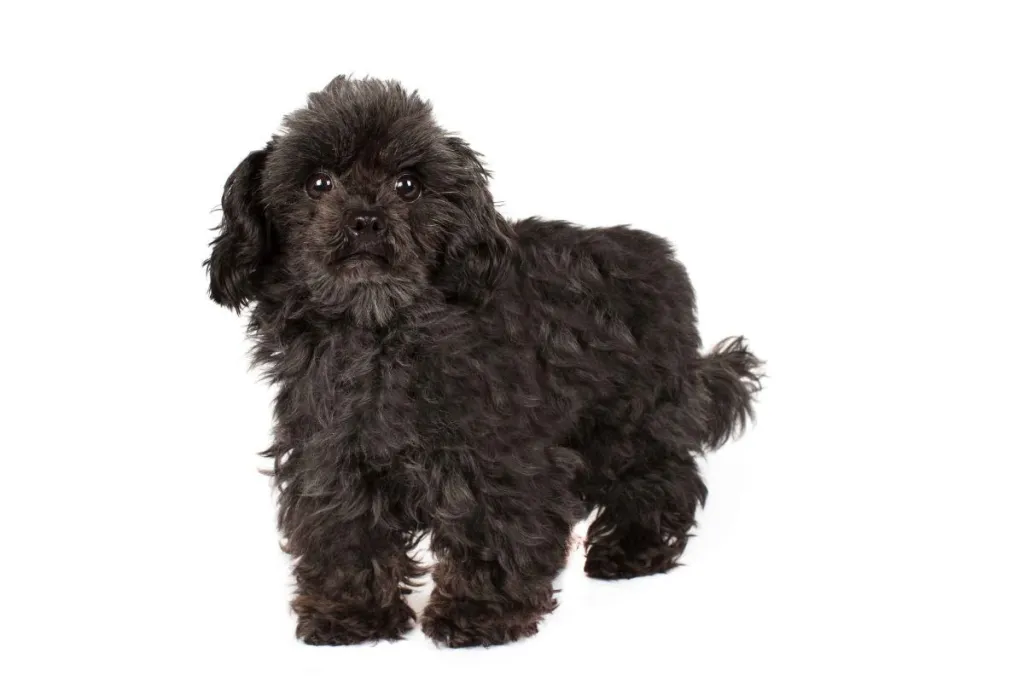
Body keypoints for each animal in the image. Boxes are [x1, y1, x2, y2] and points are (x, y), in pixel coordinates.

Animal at [205, 76, 761, 647]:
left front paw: (480, 612)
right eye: (319, 183)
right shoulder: (331, 455)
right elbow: (344, 530)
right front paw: (351, 613)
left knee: (663, 475)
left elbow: (493, 528)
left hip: (630, 421)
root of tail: (665, 261)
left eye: (408, 185)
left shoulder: (501, 458)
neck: (380, 331)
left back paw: (632, 550)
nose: (365, 219)